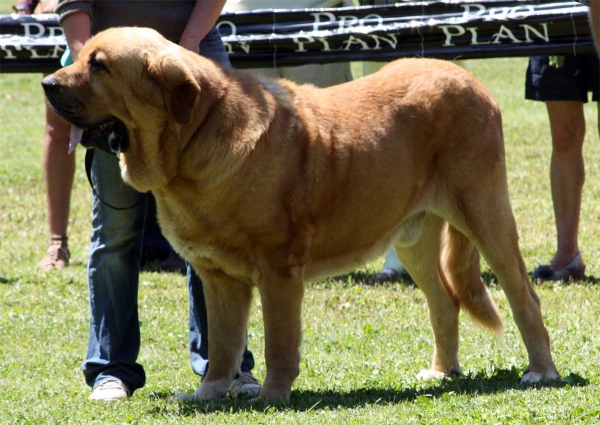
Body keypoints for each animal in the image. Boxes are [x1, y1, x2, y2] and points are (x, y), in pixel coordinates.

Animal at [41, 28, 556, 402]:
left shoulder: (278, 271)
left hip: (486, 214)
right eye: (81, 55)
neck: (194, 137)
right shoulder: (217, 278)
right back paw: (441, 371)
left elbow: (277, 342)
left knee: (525, 298)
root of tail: (468, 79)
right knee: (444, 301)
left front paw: (272, 396)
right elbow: (223, 345)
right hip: (413, 239)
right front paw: (209, 394)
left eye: (99, 65)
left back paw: (541, 372)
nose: (47, 83)